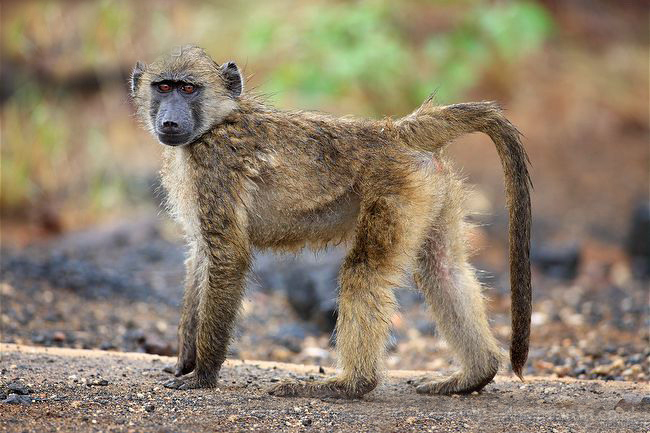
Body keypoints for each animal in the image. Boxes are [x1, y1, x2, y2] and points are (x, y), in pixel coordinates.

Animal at [130, 45, 531, 399]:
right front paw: (185, 359)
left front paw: (203, 375)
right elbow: (201, 253)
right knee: (442, 268)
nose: (170, 121)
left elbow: (228, 257)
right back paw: (475, 374)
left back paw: (349, 385)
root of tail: (391, 131)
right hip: (432, 188)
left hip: (396, 189)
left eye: (188, 89)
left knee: (364, 271)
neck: (214, 124)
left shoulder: (214, 169)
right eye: (163, 87)